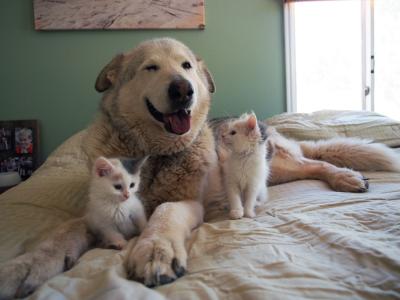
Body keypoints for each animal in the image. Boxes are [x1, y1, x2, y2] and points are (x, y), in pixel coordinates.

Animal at [1, 37, 398, 298]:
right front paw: (26, 264)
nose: (183, 90)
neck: (153, 155)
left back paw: (345, 176)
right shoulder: (94, 211)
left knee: (315, 162)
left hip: (279, 164)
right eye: (150, 67)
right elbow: (61, 233)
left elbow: (163, 213)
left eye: (186, 65)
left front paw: (155, 250)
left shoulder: (187, 202)